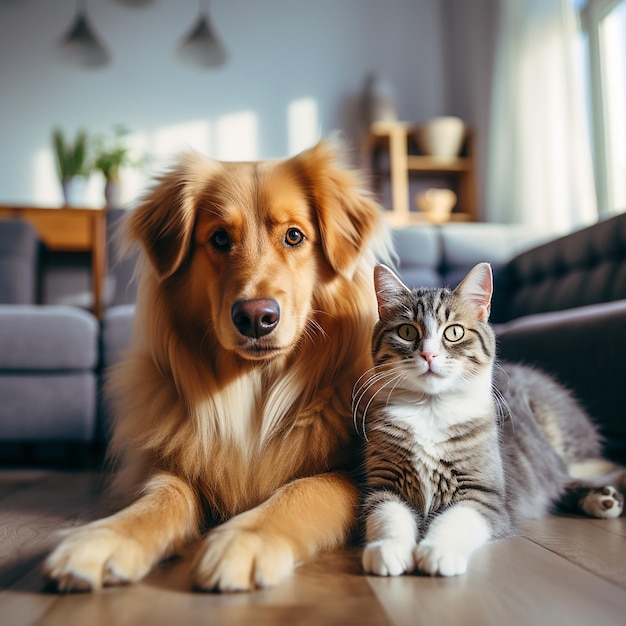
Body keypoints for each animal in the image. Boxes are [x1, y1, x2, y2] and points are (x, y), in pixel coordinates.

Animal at [44, 140, 388, 588]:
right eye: (220, 238)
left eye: (294, 236)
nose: (256, 317)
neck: (254, 389)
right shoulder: (171, 464)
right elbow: (161, 496)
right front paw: (105, 538)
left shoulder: (354, 474)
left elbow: (305, 489)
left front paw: (246, 538)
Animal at [354, 262, 620, 576]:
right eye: (407, 331)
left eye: (454, 332)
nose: (429, 355)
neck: (430, 409)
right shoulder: (384, 483)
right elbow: (387, 516)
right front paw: (388, 549)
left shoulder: (484, 495)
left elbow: (455, 520)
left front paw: (438, 551)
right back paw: (601, 499)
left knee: (567, 475)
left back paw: (603, 497)